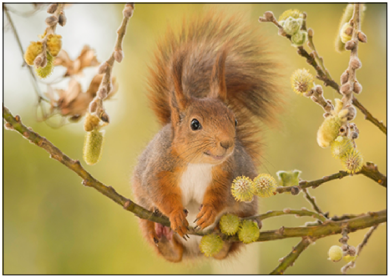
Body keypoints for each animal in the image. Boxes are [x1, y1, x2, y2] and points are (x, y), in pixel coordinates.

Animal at [133, 11, 282, 262]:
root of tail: (196, 252)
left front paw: (210, 211)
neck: (198, 162)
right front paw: (174, 214)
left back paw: (223, 235)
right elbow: (160, 192)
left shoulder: (230, 172)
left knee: (223, 250)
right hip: (144, 220)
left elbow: (222, 195)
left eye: (235, 121)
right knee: (172, 253)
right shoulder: (157, 169)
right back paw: (164, 235)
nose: (227, 143)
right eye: (195, 124)